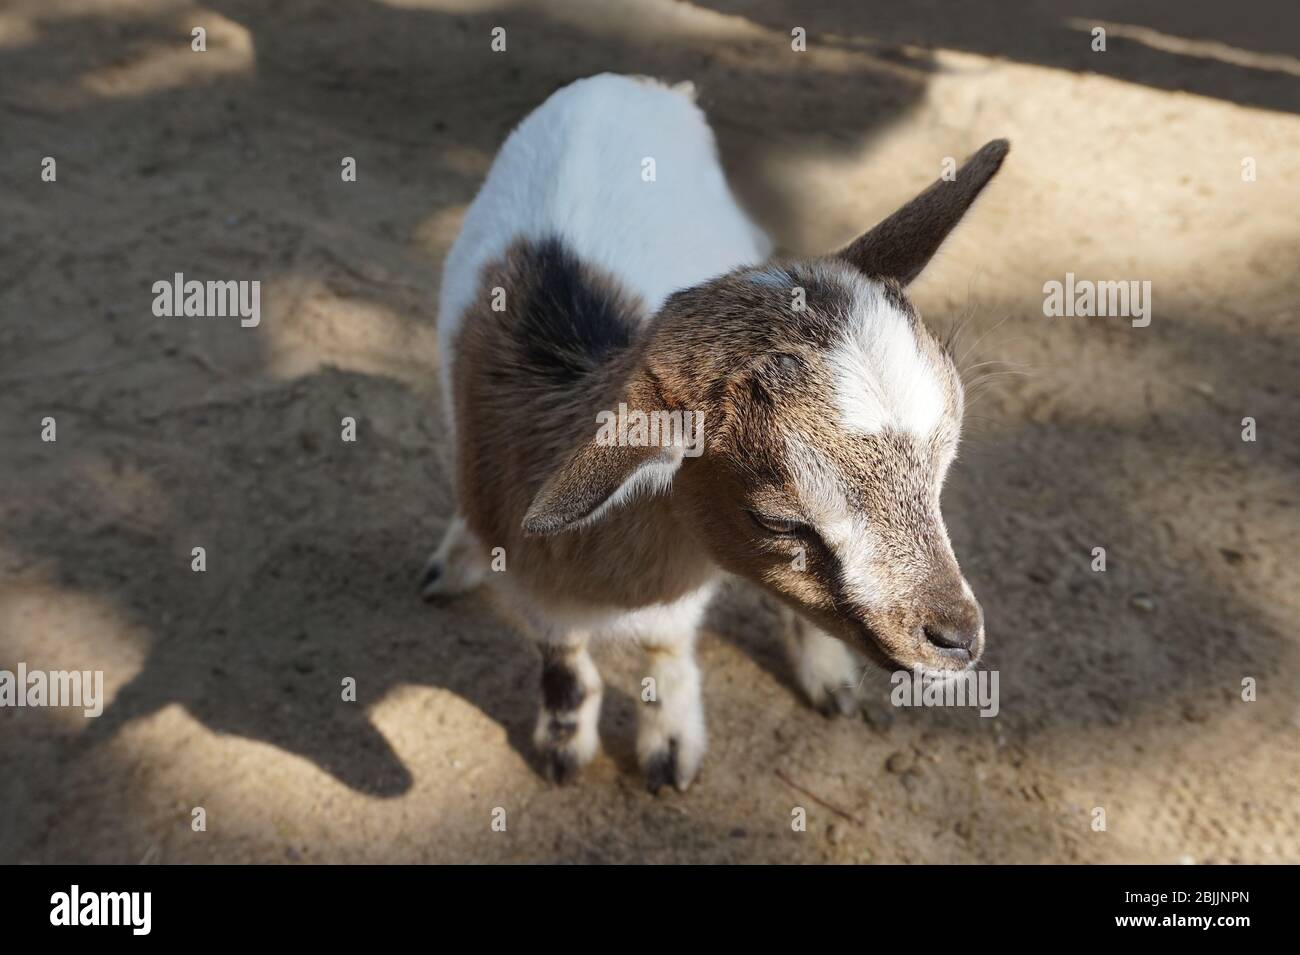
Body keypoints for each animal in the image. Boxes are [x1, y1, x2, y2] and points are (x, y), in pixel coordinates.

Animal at [423, 74, 1007, 792]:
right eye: (777, 519)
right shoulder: (534, 577)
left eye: (942, 469)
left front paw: (670, 746)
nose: (957, 640)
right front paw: (565, 747)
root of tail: (631, 83)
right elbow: (563, 656)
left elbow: (664, 642)